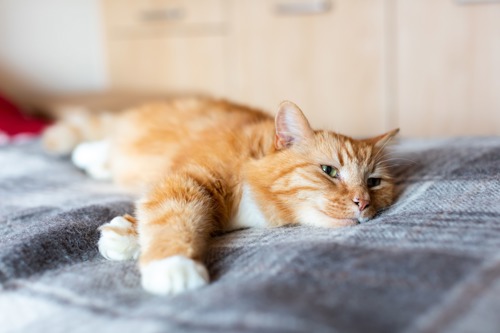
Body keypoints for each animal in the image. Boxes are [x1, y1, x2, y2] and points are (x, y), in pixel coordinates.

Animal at [42, 97, 398, 294]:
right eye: (329, 171)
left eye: (373, 183)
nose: (363, 203)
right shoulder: (186, 181)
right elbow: (171, 214)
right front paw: (172, 264)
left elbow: (158, 214)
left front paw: (129, 236)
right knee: (105, 140)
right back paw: (87, 154)